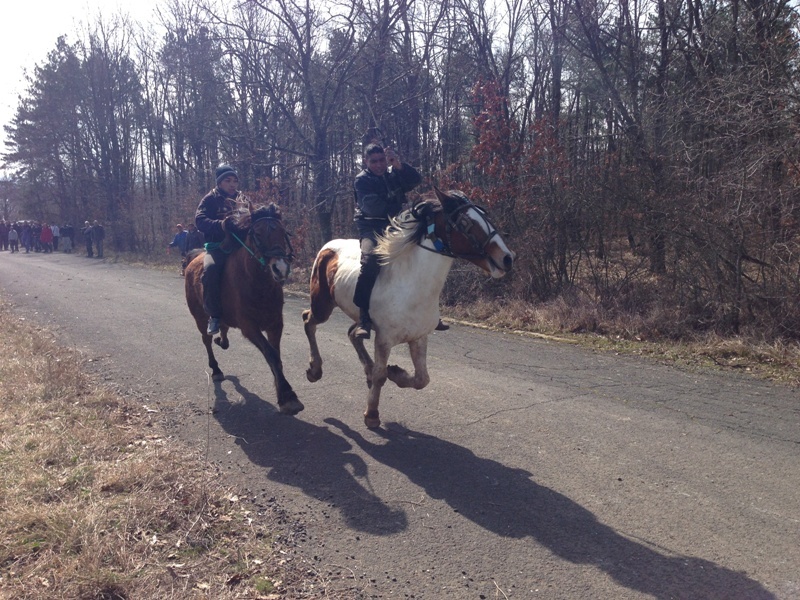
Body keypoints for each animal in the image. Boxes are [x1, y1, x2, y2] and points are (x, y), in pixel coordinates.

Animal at [184, 204, 304, 414]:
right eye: (257, 233)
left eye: (283, 232)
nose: (280, 268)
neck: (257, 283)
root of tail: (193, 258)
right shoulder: (250, 327)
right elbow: (271, 354)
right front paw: (288, 396)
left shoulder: (275, 324)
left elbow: (276, 356)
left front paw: (282, 393)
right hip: (199, 317)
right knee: (206, 340)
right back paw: (216, 369)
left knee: (223, 330)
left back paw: (221, 340)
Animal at [304, 188, 516, 426]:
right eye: (464, 222)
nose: (506, 258)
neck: (412, 284)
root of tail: (327, 247)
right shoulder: (384, 339)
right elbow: (381, 375)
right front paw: (372, 414)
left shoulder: (419, 337)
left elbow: (422, 379)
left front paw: (396, 372)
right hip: (322, 305)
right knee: (308, 321)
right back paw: (315, 370)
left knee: (352, 334)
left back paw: (364, 370)